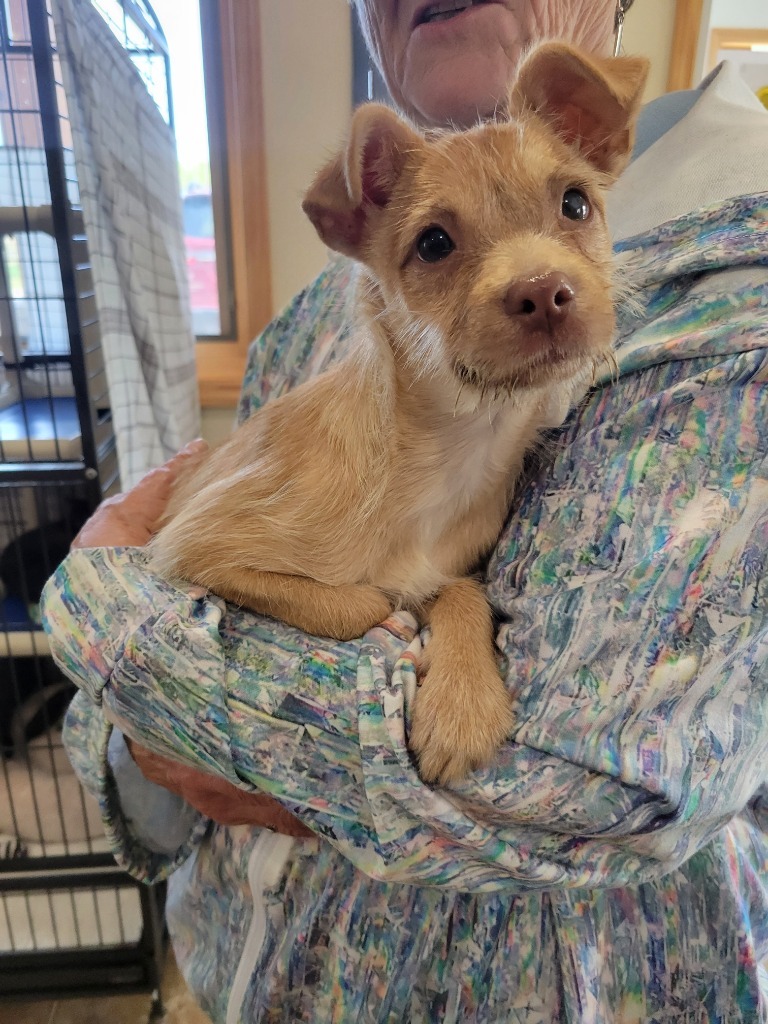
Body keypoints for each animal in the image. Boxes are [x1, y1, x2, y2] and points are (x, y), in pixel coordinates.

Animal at [151, 41, 651, 782]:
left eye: (575, 204)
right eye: (434, 243)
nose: (544, 292)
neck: (450, 444)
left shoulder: (452, 566)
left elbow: (462, 592)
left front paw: (463, 700)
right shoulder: (191, 545)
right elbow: (359, 599)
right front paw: (390, 619)